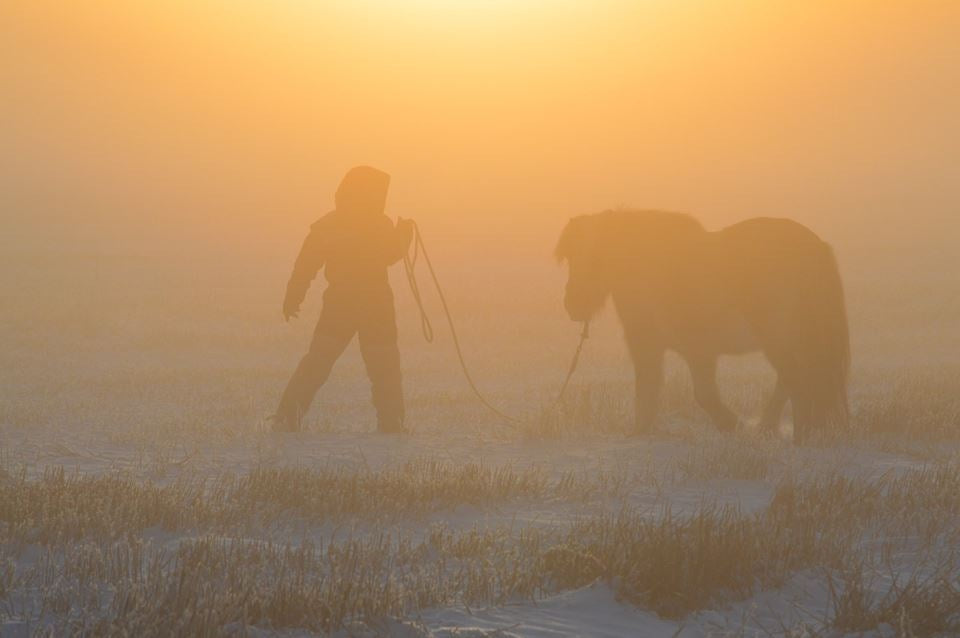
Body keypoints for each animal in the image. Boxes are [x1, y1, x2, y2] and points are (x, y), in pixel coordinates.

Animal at [555, 209, 849, 442]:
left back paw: (798, 436)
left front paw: (731, 423)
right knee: (792, 380)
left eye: (595, 257)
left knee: (797, 380)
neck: (651, 270)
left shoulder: (693, 349)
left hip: (779, 338)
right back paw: (772, 428)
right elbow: (648, 392)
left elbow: (700, 394)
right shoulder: (654, 348)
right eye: (570, 257)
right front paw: (640, 433)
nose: (572, 305)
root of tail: (815, 247)